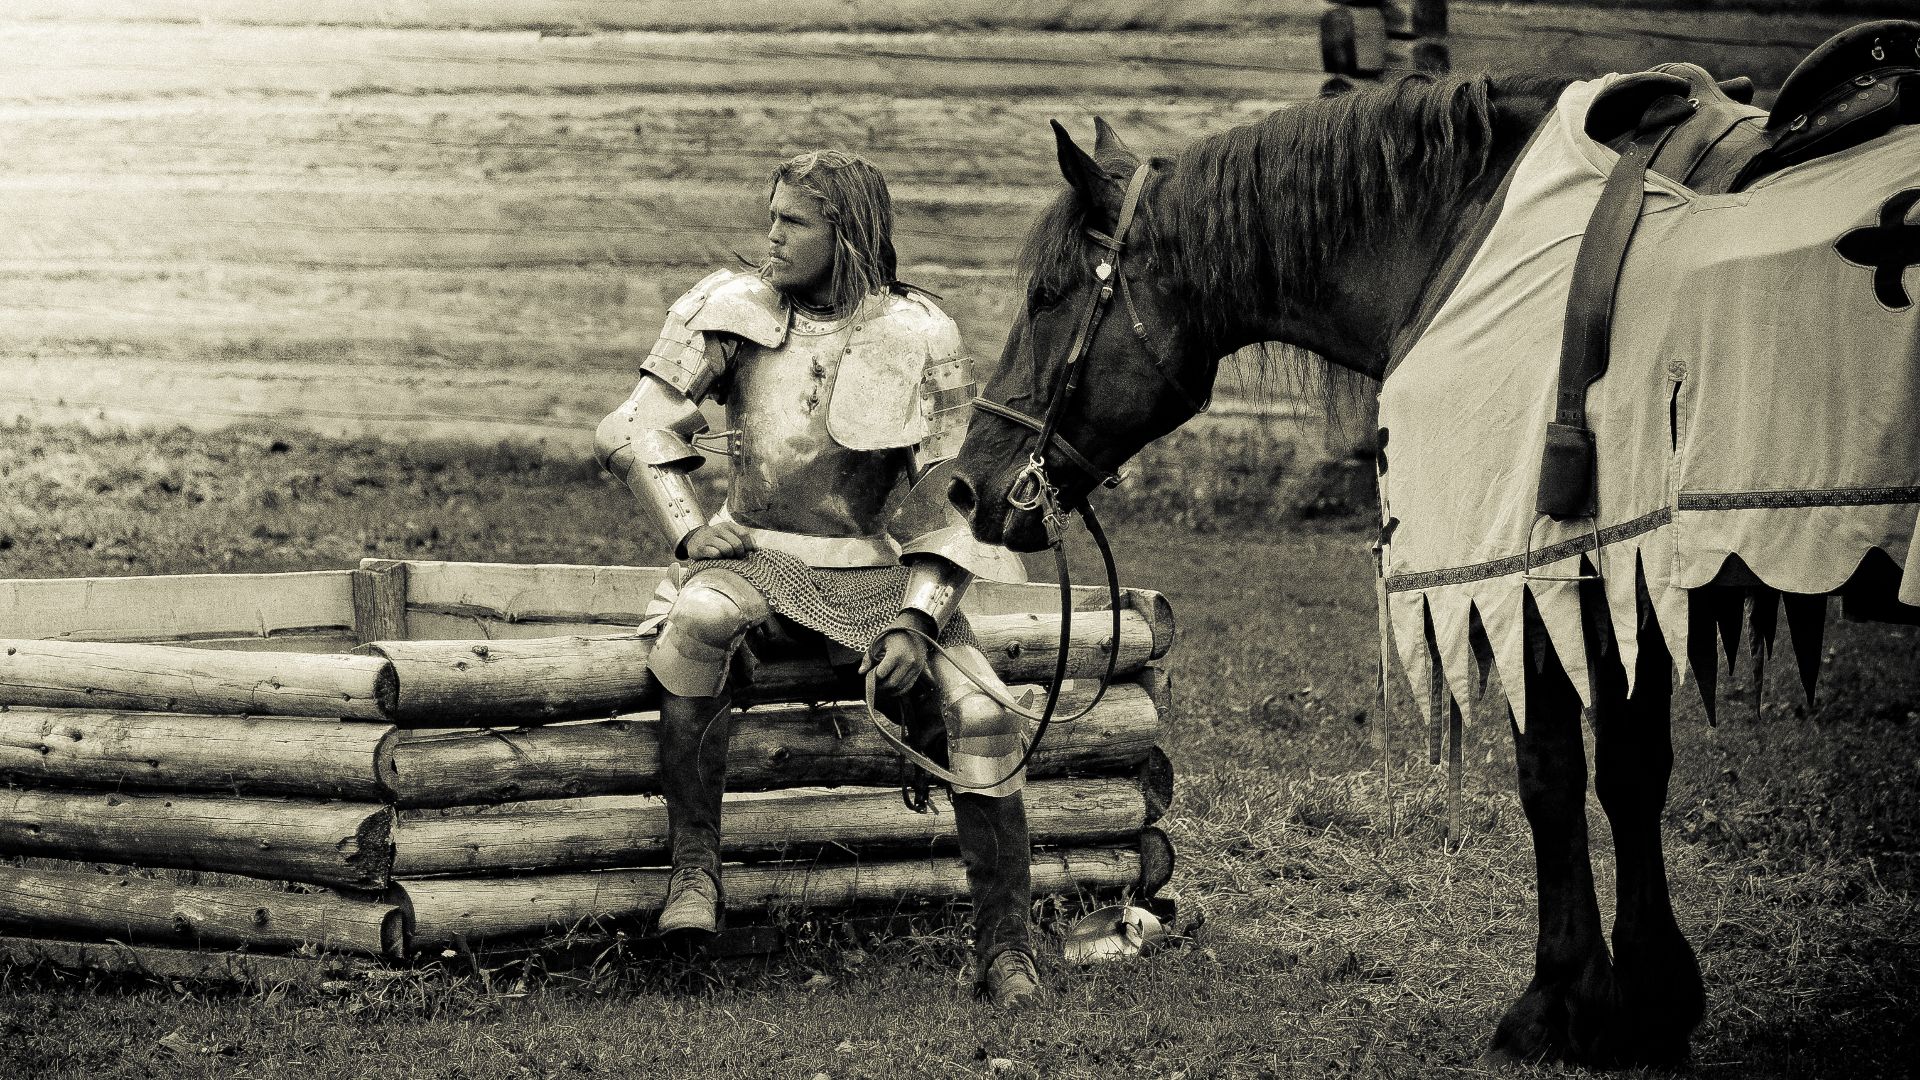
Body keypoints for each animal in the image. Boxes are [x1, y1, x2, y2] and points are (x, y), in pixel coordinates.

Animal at [946, 29, 1920, 1068]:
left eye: (1048, 295)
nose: (969, 485)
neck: (1463, 237)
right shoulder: (1625, 571)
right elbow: (1632, 770)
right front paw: (1651, 1003)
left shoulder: (1532, 569)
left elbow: (1554, 776)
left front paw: (1562, 1001)